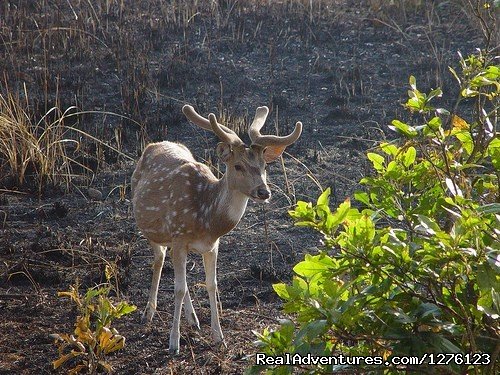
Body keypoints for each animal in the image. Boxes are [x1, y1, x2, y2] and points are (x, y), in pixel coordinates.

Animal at [132, 104, 300, 354]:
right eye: (238, 166)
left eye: (264, 166)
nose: (264, 192)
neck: (206, 218)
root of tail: (155, 144)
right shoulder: (179, 236)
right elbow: (178, 289)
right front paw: (174, 343)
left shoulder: (212, 245)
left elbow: (211, 285)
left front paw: (219, 337)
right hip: (154, 230)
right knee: (159, 261)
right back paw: (148, 313)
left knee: (175, 271)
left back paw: (193, 319)